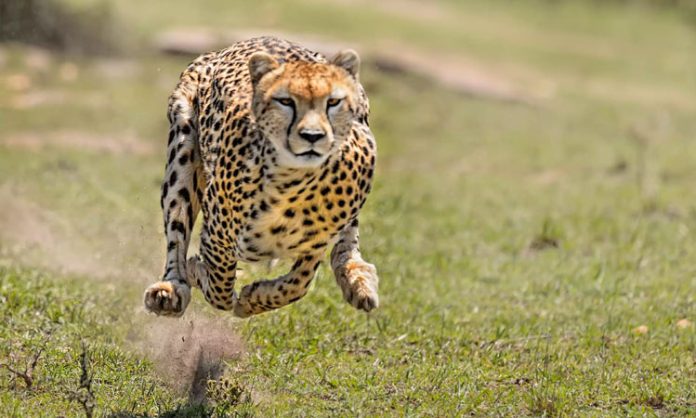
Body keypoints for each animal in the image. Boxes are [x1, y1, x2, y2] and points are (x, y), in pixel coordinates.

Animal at [143, 36, 378, 316]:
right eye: (285, 101)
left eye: (333, 102)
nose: (312, 136)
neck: (294, 184)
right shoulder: (218, 236)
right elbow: (219, 286)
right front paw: (198, 272)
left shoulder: (315, 244)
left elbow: (298, 284)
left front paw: (253, 299)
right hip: (182, 150)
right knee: (177, 229)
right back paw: (170, 288)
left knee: (347, 242)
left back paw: (358, 279)